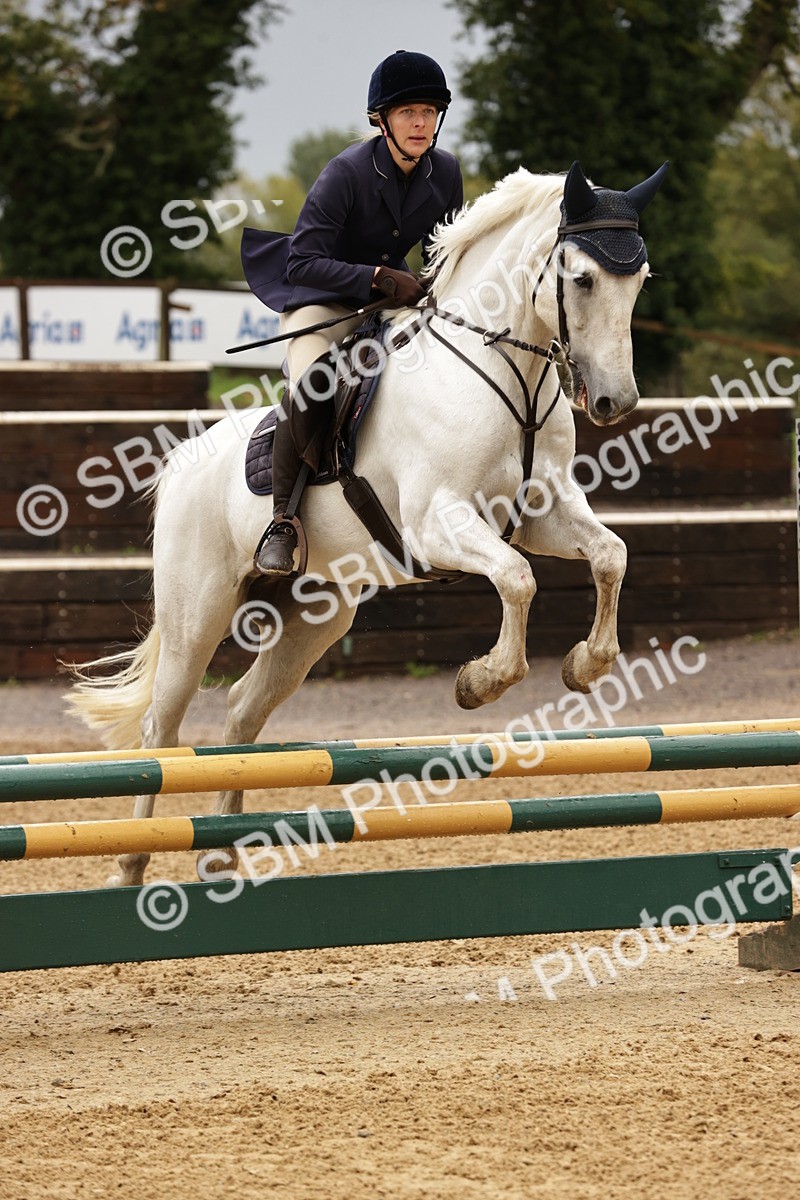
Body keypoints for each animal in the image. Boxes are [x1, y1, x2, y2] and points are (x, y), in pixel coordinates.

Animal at [68, 160, 667, 887]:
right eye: (581, 279)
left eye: (639, 280)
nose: (614, 402)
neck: (510, 374)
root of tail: (181, 462)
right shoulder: (439, 523)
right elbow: (517, 579)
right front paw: (481, 682)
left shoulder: (542, 512)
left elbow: (609, 555)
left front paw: (585, 665)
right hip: (198, 612)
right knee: (161, 729)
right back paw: (130, 863)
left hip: (314, 615)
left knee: (242, 710)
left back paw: (220, 850)